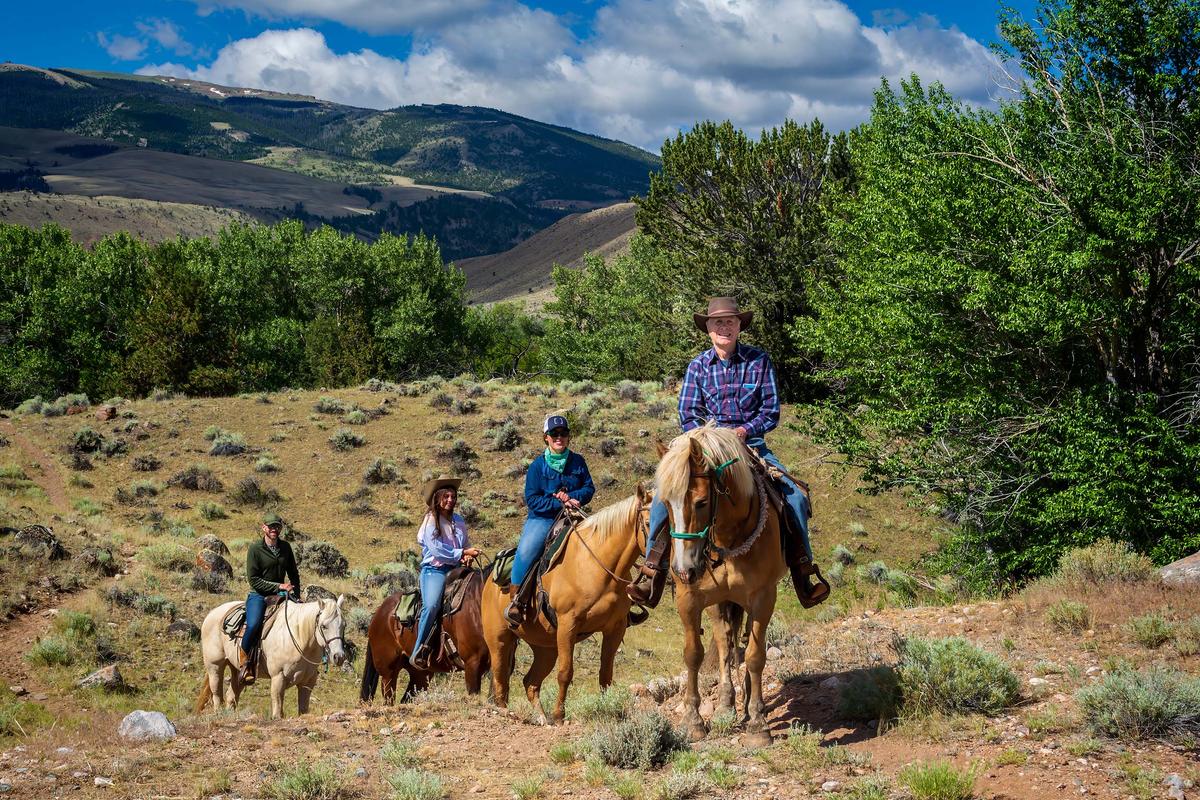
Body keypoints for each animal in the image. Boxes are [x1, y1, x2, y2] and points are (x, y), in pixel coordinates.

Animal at [195, 594, 348, 719]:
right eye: (324, 626)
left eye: (344, 625)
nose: (339, 656)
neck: (298, 637)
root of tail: (212, 613)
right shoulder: (278, 677)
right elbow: (277, 707)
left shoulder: (307, 682)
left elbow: (303, 709)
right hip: (215, 665)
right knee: (216, 692)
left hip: (237, 670)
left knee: (231, 696)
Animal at [480, 484, 652, 729]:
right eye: (647, 522)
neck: (597, 565)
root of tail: (489, 583)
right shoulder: (568, 624)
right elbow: (565, 672)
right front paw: (560, 715)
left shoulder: (615, 628)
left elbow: (606, 674)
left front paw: (609, 710)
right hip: (499, 639)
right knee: (500, 680)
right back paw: (507, 713)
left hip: (545, 647)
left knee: (530, 682)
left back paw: (542, 719)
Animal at [657, 424, 787, 743]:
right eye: (665, 504)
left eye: (701, 502)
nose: (683, 569)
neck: (728, 537)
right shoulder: (689, 599)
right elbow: (693, 655)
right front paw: (693, 721)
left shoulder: (763, 597)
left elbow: (755, 656)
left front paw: (758, 725)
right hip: (718, 601)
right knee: (725, 645)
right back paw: (726, 706)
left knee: (746, 645)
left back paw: (753, 705)